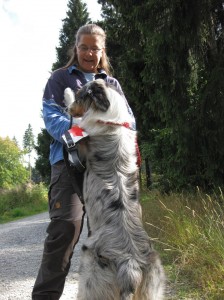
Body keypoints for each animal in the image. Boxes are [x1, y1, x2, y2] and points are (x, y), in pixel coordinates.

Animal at [65, 79, 165, 300]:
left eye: (80, 96)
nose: (68, 109)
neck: (114, 121)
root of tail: (130, 267)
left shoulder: (81, 145)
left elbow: (78, 123)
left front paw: (66, 95)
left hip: (89, 277)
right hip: (152, 286)